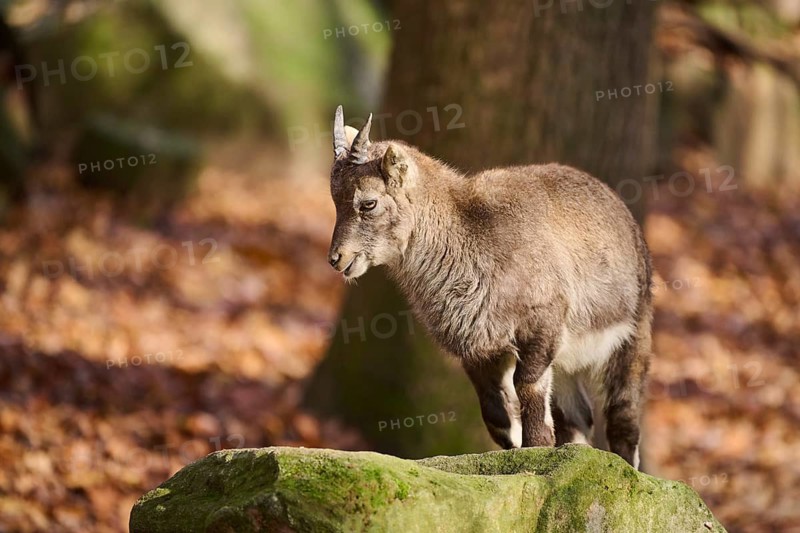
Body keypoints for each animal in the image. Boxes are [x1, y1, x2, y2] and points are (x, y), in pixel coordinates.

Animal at [327, 106, 653, 468]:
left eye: (368, 203)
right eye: (335, 199)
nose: (337, 258)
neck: (473, 235)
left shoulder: (541, 327)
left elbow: (528, 390)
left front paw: (535, 451)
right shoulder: (478, 349)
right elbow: (496, 415)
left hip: (632, 335)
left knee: (622, 418)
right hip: (569, 361)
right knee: (579, 417)